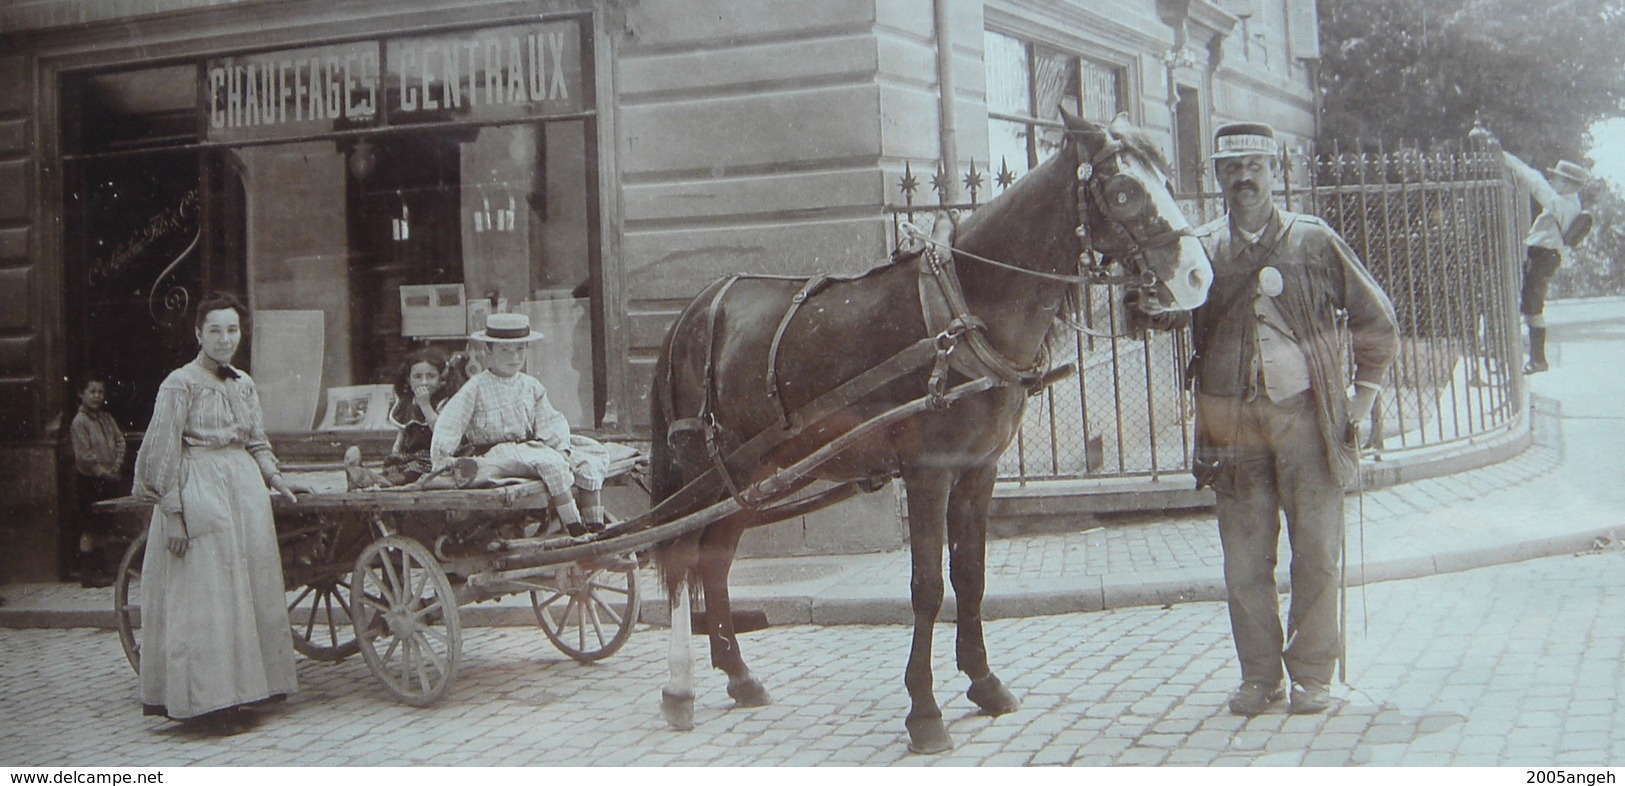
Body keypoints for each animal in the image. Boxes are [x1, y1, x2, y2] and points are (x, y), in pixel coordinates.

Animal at [643, 107, 1209, 753]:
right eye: (1122, 191)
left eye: (1167, 179)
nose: (1197, 276)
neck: (964, 313)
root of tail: (693, 311)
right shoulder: (927, 473)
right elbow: (928, 587)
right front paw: (925, 709)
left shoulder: (979, 470)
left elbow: (971, 575)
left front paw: (984, 683)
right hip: (702, 467)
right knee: (682, 559)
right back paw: (679, 689)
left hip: (748, 473)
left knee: (714, 561)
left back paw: (738, 675)